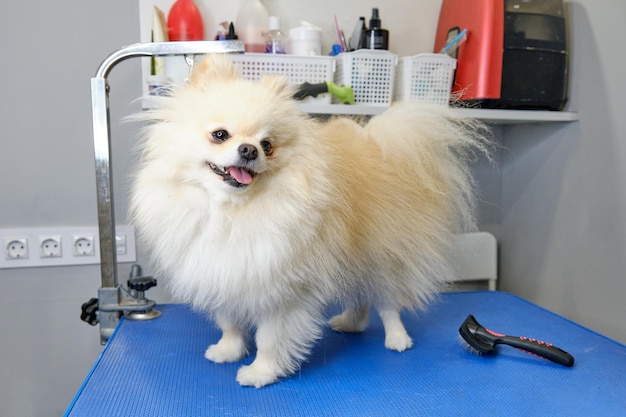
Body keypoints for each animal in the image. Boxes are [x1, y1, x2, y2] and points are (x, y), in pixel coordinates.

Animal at [128, 54, 488, 386]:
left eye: (267, 145)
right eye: (220, 134)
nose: (249, 150)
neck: (233, 211)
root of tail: (380, 149)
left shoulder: (284, 291)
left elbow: (270, 338)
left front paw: (260, 372)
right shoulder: (224, 273)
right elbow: (229, 321)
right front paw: (228, 351)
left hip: (382, 258)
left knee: (387, 303)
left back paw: (397, 339)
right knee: (360, 299)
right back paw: (349, 323)